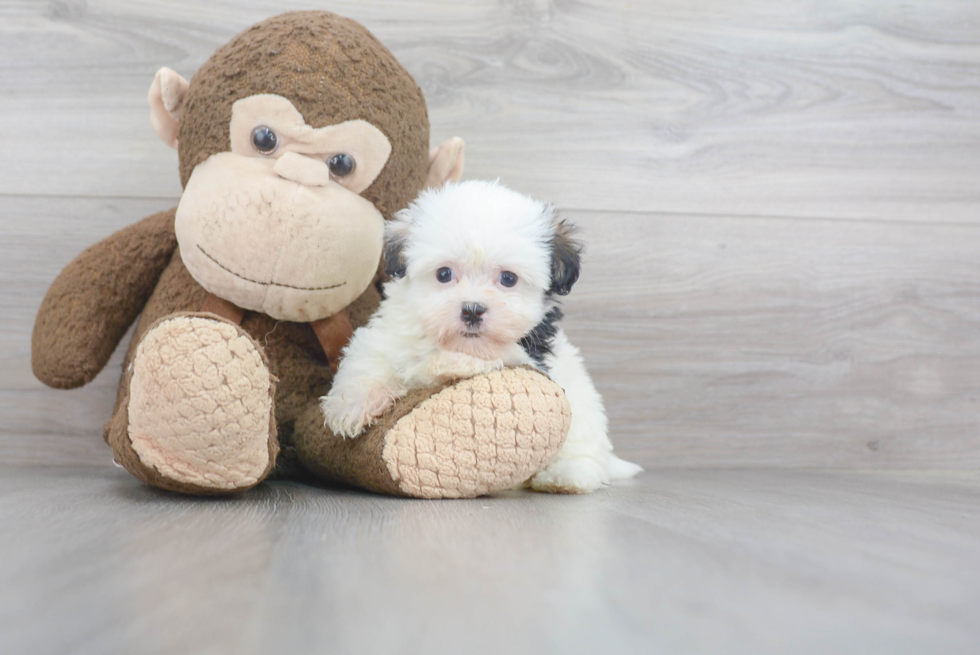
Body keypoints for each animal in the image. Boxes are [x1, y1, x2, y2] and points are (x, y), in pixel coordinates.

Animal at [322, 179, 644, 492]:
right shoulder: (393, 328)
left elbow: (452, 362)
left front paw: (442, 364)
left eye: (508, 279)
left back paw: (566, 476)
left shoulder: (527, 354)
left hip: (583, 417)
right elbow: (371, 355)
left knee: (583, 449)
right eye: (443, 274)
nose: (472, 310)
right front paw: (352, 404)